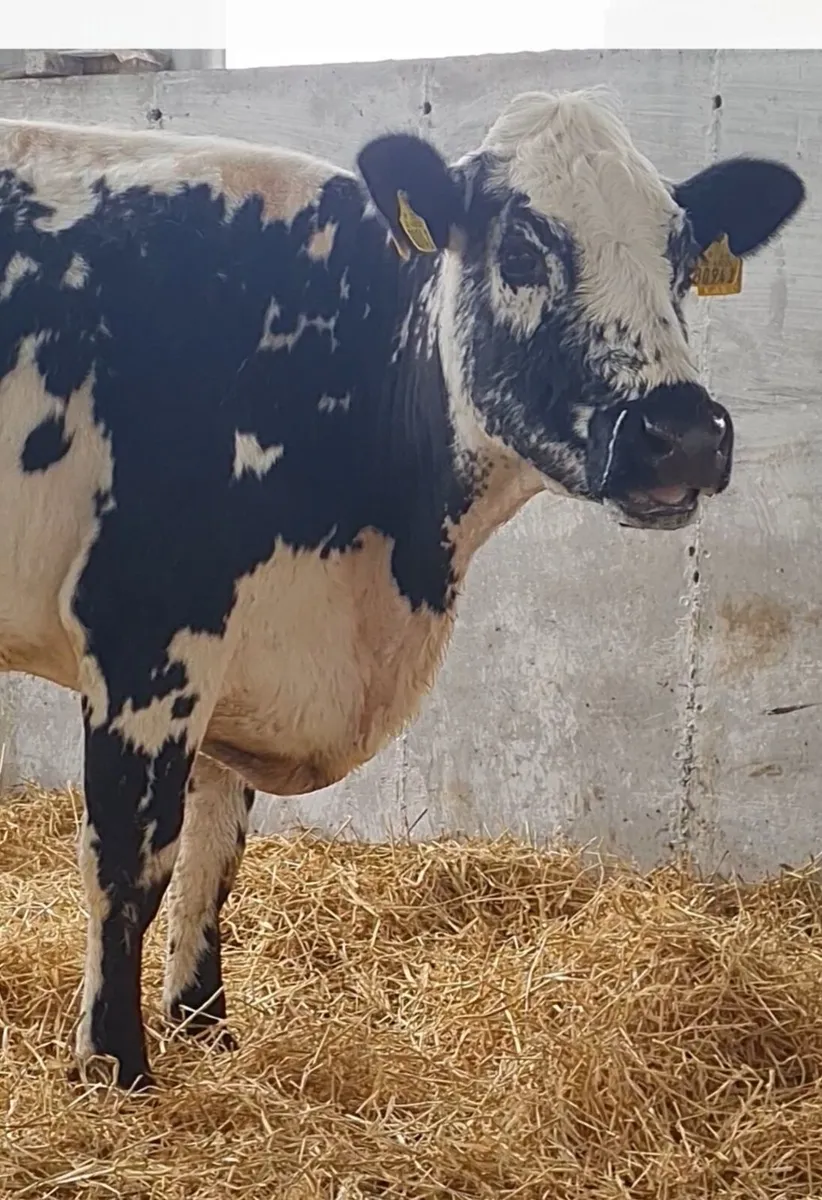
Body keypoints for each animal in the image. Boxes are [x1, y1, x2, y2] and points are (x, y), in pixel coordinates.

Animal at [0, 88, 804, 1090]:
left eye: (685, 259)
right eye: (520, 251)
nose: (683, 433)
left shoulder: (241, 650)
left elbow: (213, 854)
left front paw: (205, 1029)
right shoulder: (144, 629)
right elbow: (131, 860)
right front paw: (116, 1070)